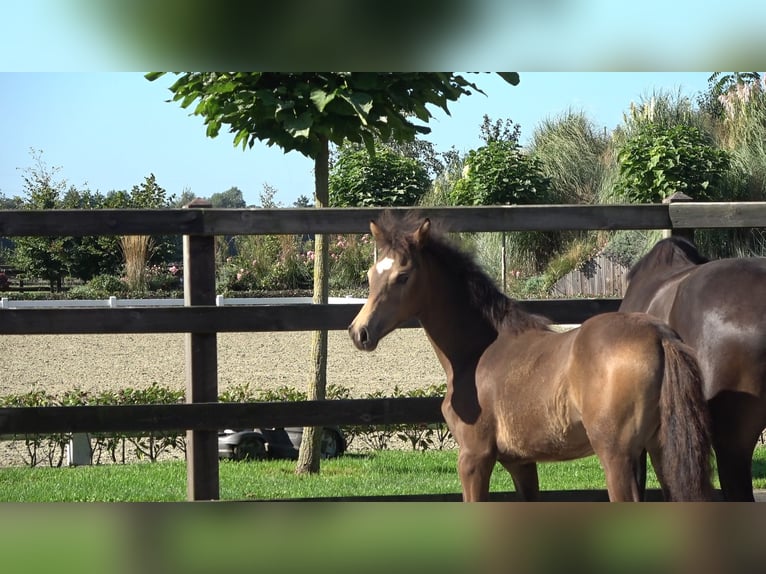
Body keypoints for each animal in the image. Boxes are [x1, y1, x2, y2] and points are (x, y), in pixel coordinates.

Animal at [348, 212, 714, 502]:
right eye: (370, 275)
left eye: (403, 276)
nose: (359, 332)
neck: (477, 353)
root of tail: (659, 336)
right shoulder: (521, 463)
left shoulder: (474, 457)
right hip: (663, 449)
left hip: (617, 456)